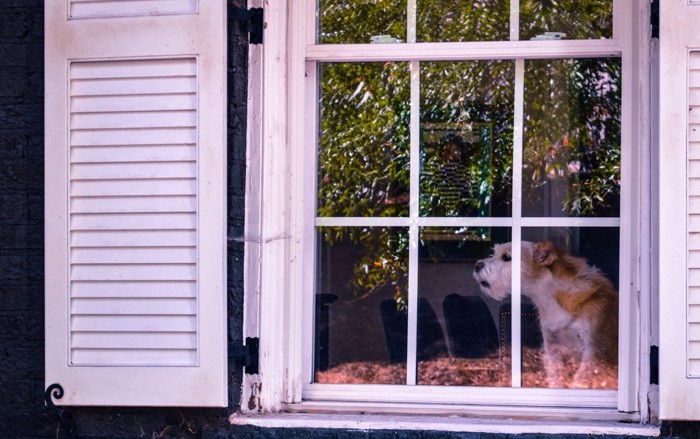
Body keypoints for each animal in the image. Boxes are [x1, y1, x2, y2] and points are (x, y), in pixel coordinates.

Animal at [470, 242, 616, 390]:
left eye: (506, 257)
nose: (477, 265)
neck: (550, 298)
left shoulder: (593, 350)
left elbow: (579, 380)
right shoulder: (552, 349)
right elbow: (557, 380)